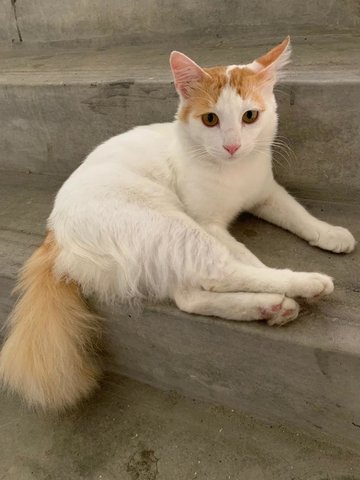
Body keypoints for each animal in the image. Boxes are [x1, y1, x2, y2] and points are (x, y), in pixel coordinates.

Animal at [0, 37, 354, 410]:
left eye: (250, 116)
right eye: (210, 119)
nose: (232, 146)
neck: (234, 172)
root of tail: (53, 232)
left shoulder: (266, 193)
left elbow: (298, 213)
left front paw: (330, 233)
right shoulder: (209, 224)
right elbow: (246, 256)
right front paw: (283, 277)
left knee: (189, 297)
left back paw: (270, 307)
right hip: (173, 225)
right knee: (219, 273)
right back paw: (302, 286)